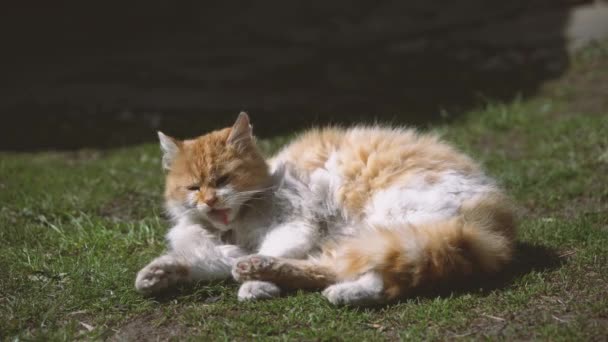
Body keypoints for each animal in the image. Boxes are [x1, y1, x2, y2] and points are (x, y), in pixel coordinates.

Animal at [135, 113, 516, 306]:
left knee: (378, 276)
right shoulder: (222, 249)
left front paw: (255, 285)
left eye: (224, 179)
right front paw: (158, 274)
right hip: (369, 239)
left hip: (392, 225)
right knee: (343, 269)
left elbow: (262, 251)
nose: (210, 201)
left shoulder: (294, 226)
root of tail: (491, 226)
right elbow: (199, 261)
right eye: (193, 188)